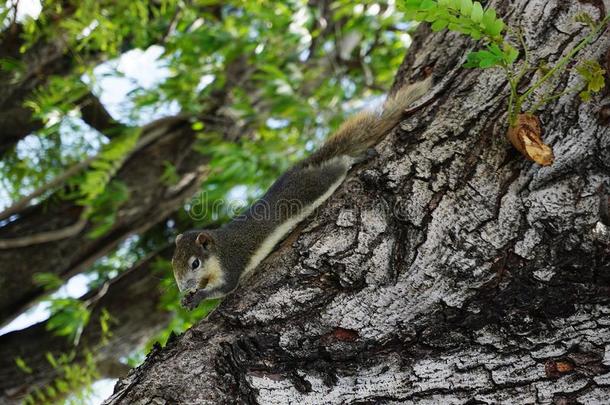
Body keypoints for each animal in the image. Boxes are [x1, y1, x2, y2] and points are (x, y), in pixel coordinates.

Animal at [171, 77, 428, 308]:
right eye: (174, 262)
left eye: (194, 263)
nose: (183, 288)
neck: (216, 252)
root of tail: (304, 167)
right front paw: (188, 297)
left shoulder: (230, 263)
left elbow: (225, 287)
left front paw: (199, 296)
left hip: (319, 182)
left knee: (338, 165)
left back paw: (354, 158)